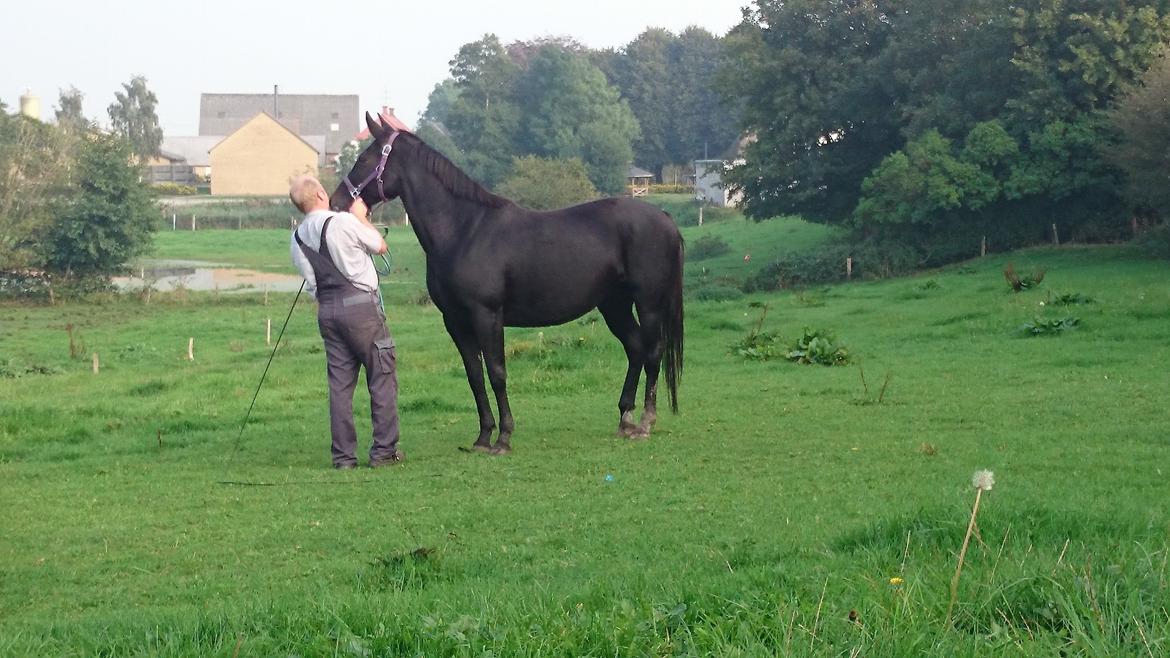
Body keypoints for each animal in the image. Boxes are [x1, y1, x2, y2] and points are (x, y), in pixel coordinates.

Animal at [329, 111, 683, 449]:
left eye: (364, 159)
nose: (337, 201)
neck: (464, 230)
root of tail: (665, 218)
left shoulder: (487, 315)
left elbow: (497, 372)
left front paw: (504, 437)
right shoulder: (455, 320)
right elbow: (475, 376)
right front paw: (483, 436)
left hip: (649, 303)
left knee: (653, 352)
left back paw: (646, 422)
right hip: (614, 304)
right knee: (635, 348)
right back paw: (625, 418)